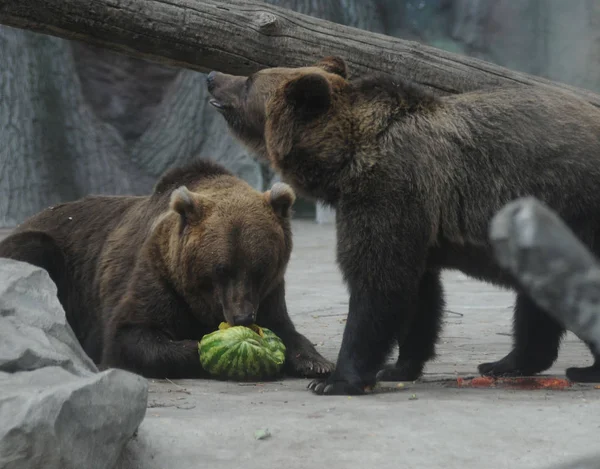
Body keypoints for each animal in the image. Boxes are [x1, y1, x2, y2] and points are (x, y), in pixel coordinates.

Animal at [0, 159, 332, 378]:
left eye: (259, 268)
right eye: (221, 269)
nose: (242, 316)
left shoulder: (271, 291)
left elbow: (284, 327)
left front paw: (316, 363)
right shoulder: (157, 272)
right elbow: (131, 335)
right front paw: (203, 348)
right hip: (47, 249)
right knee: (38, 251)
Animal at [207, 54, 600, 394]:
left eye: (250, 80)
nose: (212, 77)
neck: (344, 161)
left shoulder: (390, 191)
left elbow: (378, 283)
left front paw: (336, 380)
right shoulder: (415, 221)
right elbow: (419, 294)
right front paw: (398, 366)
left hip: (574, 208)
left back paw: (583, 369)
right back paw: (507, 362)